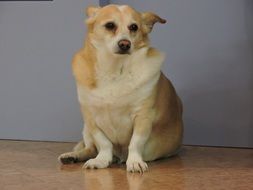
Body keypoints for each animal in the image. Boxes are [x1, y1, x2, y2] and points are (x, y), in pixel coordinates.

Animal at [58, 4, 183, 174]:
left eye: (134, 27)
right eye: (110, 25)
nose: (125, 43)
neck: (114, 70)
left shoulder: (143, 117)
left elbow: (135, 142)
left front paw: (135, 162)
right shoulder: (90, 118)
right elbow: (103, 143)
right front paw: (102, 160)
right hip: (86, 129)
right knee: (90, 148)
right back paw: (73, 156)